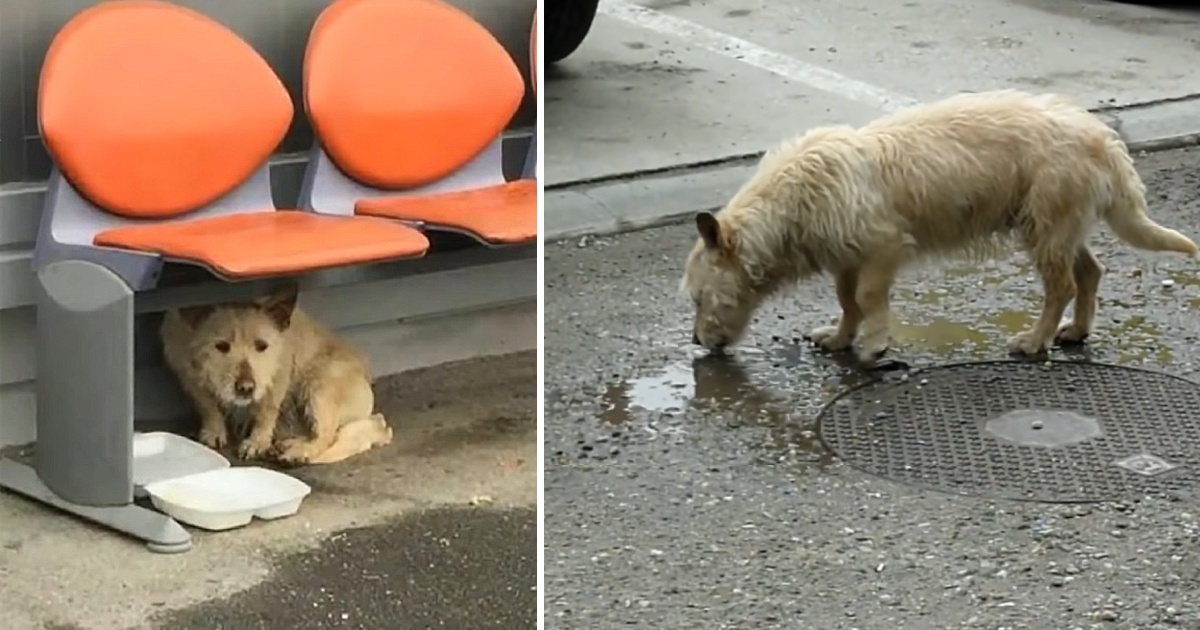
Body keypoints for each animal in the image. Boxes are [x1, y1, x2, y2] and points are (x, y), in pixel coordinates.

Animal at [159, 282, 391, 463]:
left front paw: (257, 442)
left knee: (328, 435)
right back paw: (287, 444)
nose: (246, 388)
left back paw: (298, 452)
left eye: (262, 346)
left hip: (319, 384)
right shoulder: (188, 375)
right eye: (221, 346)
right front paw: (214, 432)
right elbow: (208, 406)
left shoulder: (277, 375)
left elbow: (266, 411)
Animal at [686, 88, 1200, 362]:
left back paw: (1037, 338)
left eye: (697, 297)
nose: (694, 341)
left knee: (1062, 285)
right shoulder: (846, 256)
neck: (795, 196)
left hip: (1047, 222)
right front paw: (841, 335)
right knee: (1089, 271)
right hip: (1060, 224)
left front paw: (875, 343)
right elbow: (847, 299)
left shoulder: (884, 247)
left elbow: (868, 296)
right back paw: (1075, 329)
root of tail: (1103, 138)